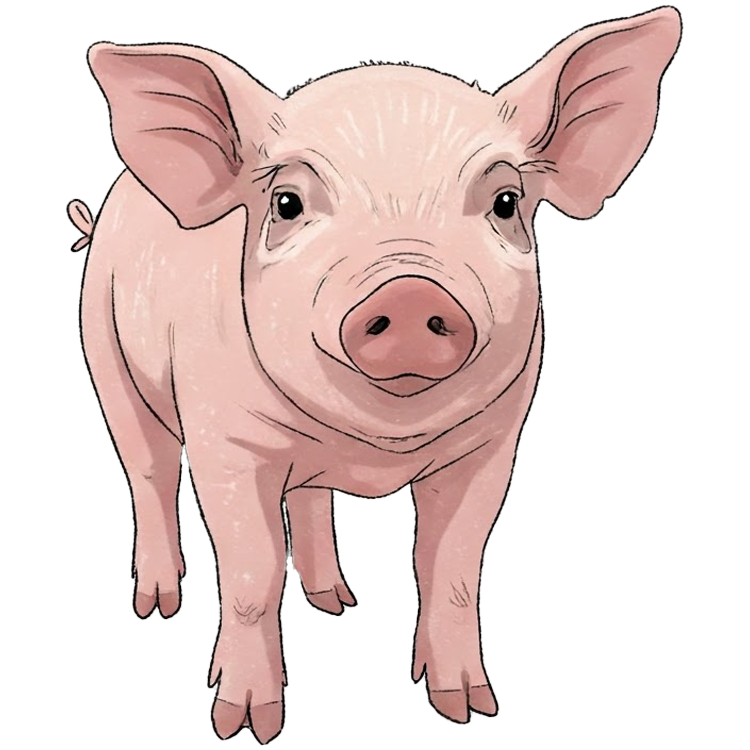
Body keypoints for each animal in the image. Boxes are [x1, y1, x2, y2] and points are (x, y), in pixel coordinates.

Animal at [69, 7, 682, 743]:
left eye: (506, 200)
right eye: (286, 203)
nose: (411, 293)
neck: (374, 445)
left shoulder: (492, 444)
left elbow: (451, 566)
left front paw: (467, 708)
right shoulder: (227, 441)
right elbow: (252, 574)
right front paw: (245, 726)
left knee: (307, 498)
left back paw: (336, 602)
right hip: (106, 353)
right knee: (150, 472)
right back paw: (157, 606)